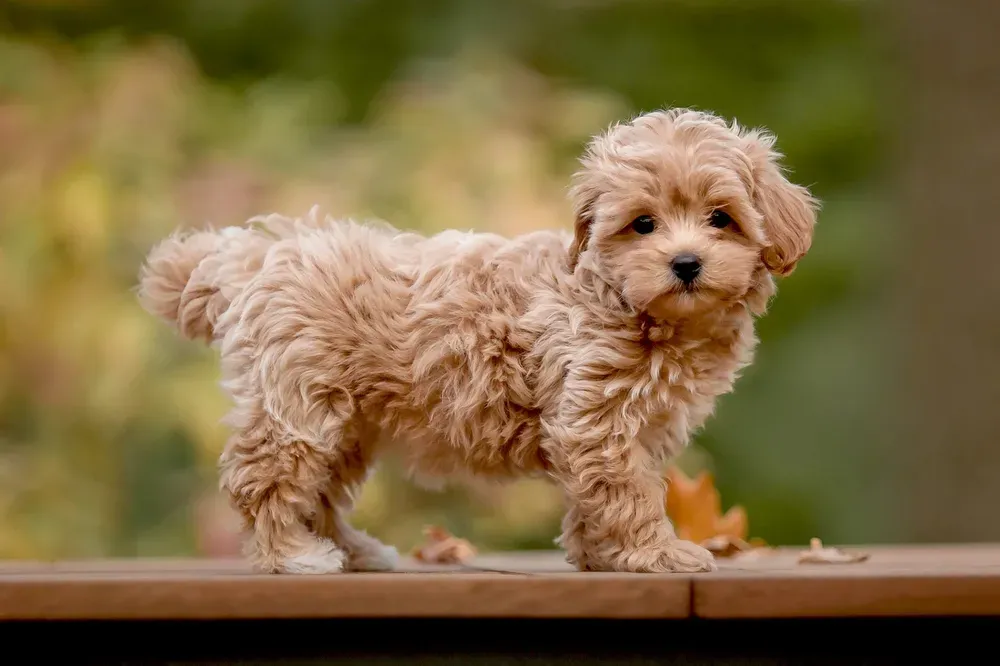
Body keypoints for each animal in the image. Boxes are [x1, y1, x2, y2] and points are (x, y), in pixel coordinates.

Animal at [137, 107, 816, 572]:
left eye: (720, 219)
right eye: (643, 224)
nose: (685, 263)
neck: (626, 303)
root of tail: (253, 255)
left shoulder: (633, 429)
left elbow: (601, 494)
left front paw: (599, 555)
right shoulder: (596, 418)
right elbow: (628, 494)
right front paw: (656, 554)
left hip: (348, 423)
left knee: (321, 492)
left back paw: (352, 551)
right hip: (300, 406)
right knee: (265, 480)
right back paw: (292, 556)